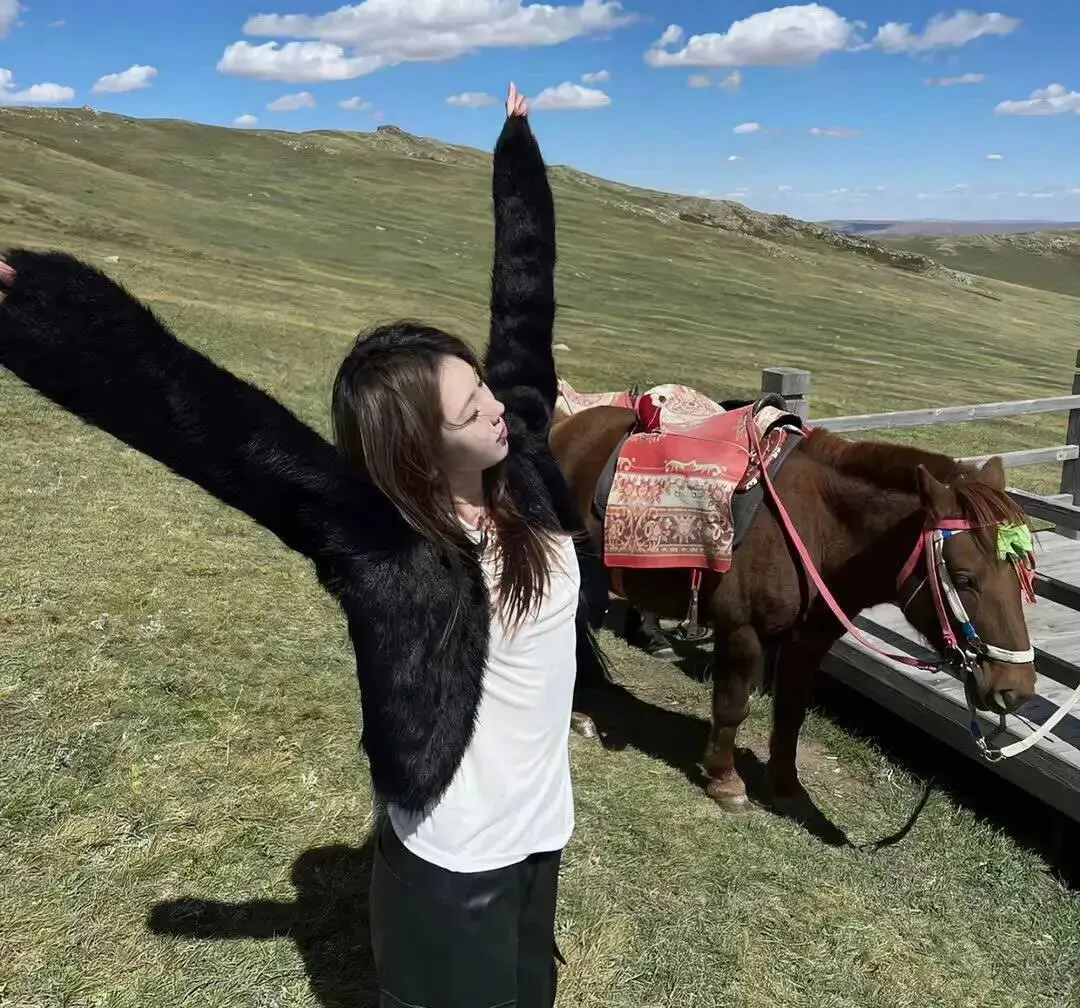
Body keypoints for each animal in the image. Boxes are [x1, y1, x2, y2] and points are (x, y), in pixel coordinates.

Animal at [550, 393, 1039, 813]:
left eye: (1024, 576)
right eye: (964, 578)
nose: (1016, 689)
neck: (815, 526)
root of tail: (563, 428)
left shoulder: (809, 641)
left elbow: (791, 714)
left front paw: (785, 786)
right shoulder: (742, 632)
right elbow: (732, 706)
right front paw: (725, 780)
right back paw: (579, 714)